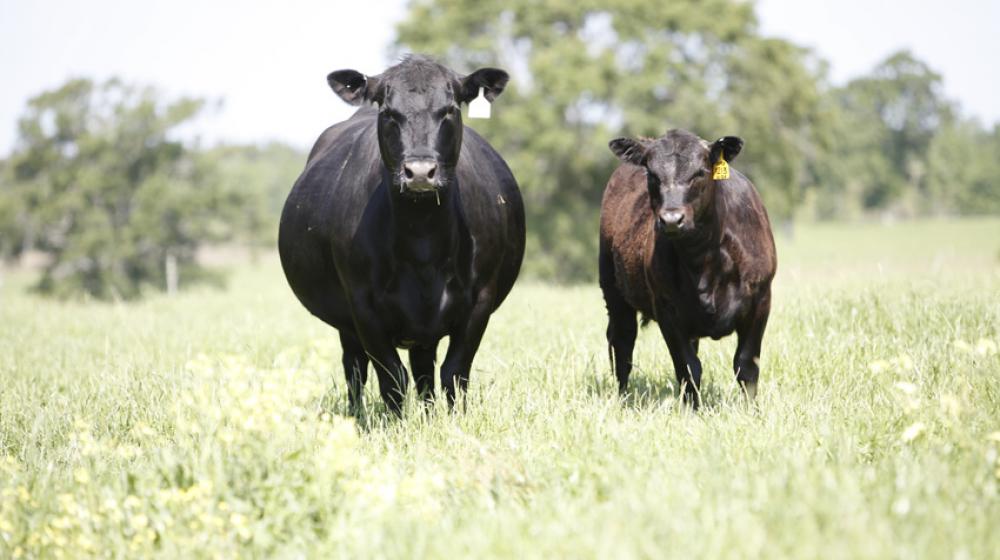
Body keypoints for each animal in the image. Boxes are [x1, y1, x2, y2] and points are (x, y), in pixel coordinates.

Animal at [278, 55, 528, 416]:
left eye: (450, 109)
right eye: (388, 112)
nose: (420, 172)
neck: (422, 240)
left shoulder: (480, 299)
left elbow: (454, 372)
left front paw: (453, 420)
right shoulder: (362, 304)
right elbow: (392, 377)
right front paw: (397, 424)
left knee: (423, 369)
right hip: (347, 323)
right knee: (355, 367)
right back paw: (358, 414)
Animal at [596, 128, 776, 406]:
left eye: (700, 172)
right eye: (652, 174)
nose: (672, 219)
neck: (704, 259)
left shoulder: (760, 299)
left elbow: (746, 365)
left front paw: (751, 410)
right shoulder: (667, 309)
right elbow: (688, 368)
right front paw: (693, 409)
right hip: (612, 288)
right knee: (622, 343)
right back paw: (623, 398)